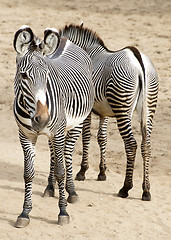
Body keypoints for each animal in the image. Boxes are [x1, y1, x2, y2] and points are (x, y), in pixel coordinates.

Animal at [12, 25, 94, 228]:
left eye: (47, 75)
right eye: (23, 75)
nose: (42, 119)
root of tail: (66, 40)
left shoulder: (57, 132)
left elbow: (60, 172)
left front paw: (63, 212)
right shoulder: (25, 136)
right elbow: (28, 173)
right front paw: (25, 213)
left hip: (76, 124)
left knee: (67, 153)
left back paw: (71, 191)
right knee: (53, 154)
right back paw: (50, 187)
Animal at [58, 23, 158, 201]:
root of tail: (138, 60)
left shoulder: (88, 110)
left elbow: (86, 137)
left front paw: (83, 171)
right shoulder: (104, 113)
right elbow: (102, 138)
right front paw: (102, 172)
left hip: (122, 109)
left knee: (131, 145)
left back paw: (125, 188)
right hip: (148, 109)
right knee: (146, 145)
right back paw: (146, 190)